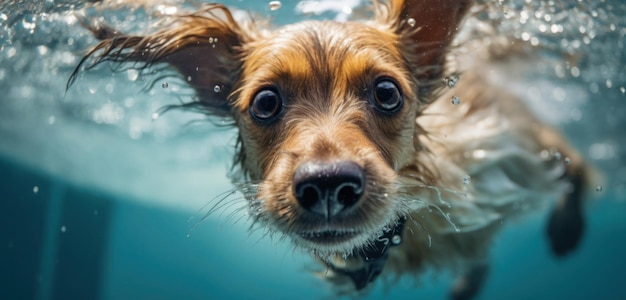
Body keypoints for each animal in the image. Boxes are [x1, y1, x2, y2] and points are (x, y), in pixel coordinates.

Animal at [69, 0, 588, 298]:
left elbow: (578, 167)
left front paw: (567, 228)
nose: (327, 185)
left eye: (386, 92)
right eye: (265, 102)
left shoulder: (518, 145)